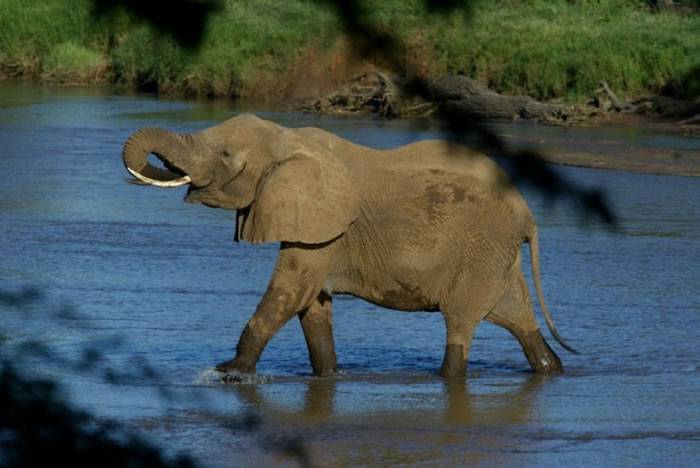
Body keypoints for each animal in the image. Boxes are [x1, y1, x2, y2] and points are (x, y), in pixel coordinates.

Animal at [124, 114, 576, 380]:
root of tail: (528, 214)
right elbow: (312, 305)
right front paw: (328, 377)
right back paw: (551, 368)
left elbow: (289, 292)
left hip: (481, 252)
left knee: (461, 325)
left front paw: (229, 373)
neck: (289, 139)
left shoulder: (325, 228)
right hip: (496, 259)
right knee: (519, 319)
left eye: (225, 153)